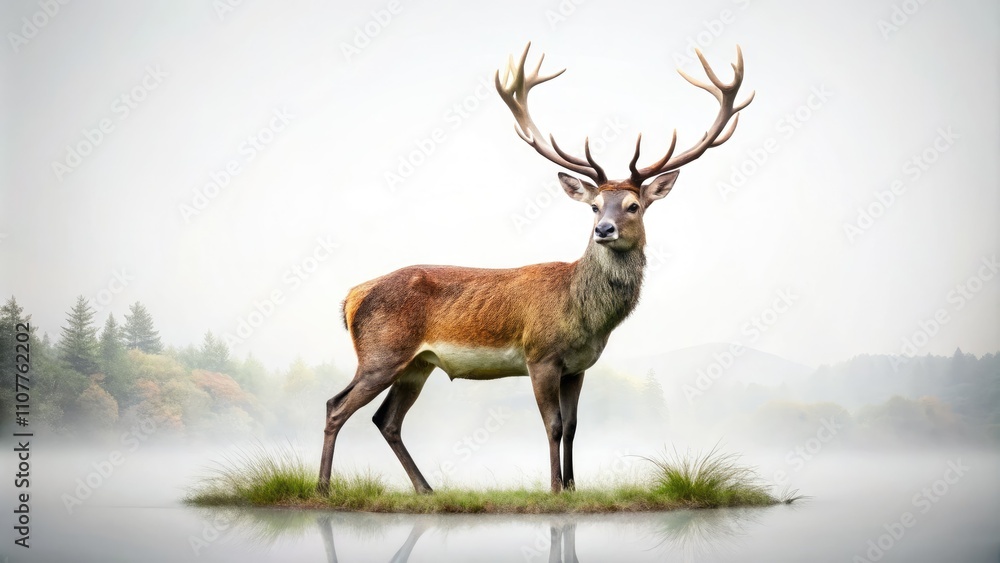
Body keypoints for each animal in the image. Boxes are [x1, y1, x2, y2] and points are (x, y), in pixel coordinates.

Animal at [318, 43, 753, 494]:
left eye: (633, 205)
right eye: (595, 206)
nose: (603, 229)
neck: (585, 317)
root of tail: (350, 298)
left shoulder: (578, 366)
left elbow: (575, 425)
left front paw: (574, 486)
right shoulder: (540, 355)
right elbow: (554, 425)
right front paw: (555, 488)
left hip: (417, 364)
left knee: (386, 419)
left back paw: (425, 489)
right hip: (381, 353)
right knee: (336, 405)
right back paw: (324, 487)